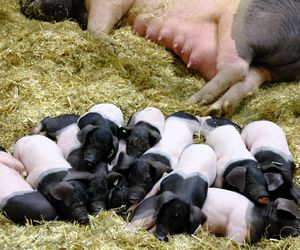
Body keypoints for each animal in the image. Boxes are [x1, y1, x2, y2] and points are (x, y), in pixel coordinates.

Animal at [22, 0, 300, 114]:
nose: (27, 5)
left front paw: (111, 44)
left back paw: (195, 100)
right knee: (249, 81)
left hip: (242, 25)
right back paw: (217, 110)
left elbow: (98, 23)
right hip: (269, 68)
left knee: (236, 68)